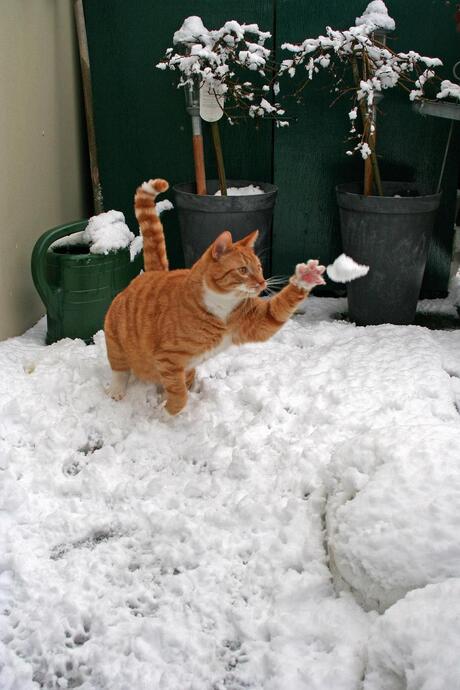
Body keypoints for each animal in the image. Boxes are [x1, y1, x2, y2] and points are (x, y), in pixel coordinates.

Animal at [105, 179, 328, 414]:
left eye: (259, 268)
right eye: (243, 270)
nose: (262, 283)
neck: (222, 304)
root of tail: (153, 273)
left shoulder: (256, 321)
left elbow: (278, 310)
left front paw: (306, 277)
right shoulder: (169, 358)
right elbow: (179, 395)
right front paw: (166, 414)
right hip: (115, 340)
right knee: (120, 369)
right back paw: (117, 390)